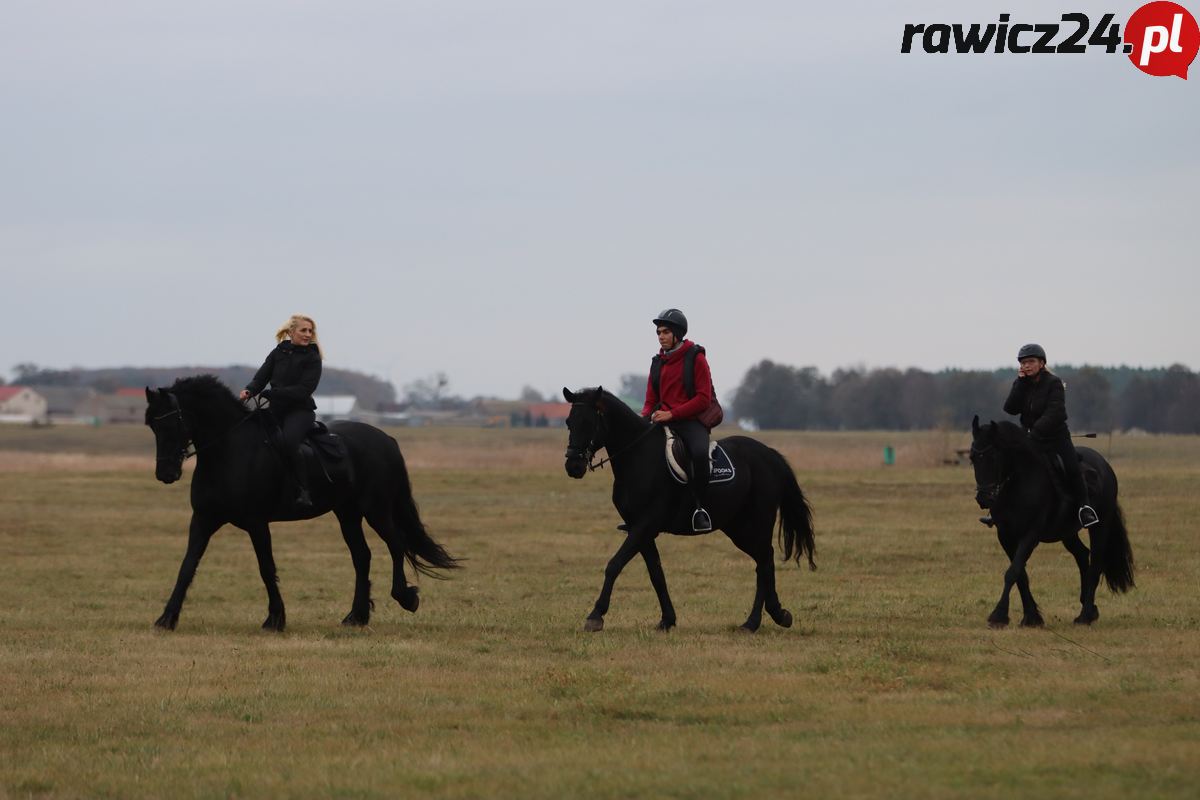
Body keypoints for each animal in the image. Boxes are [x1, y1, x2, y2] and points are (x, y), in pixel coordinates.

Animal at [145, 376, 453, 633]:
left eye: (172, 422)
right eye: (152, 426)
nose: (166, 474)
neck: (231, 452)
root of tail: (386, 439)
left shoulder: (257, 523)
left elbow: (266, 568)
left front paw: (275, 619)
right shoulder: (203, 519)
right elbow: (187, 566)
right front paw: (166, 618)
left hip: (376, 509)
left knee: (396, 545)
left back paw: (405, 597)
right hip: (348, 513)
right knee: (362, 556)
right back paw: (356, 616)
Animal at [561, 383, 816, 633]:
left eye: (589, 423)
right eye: (568, 423)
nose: (573, 466)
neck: (638, 457)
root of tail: (768, 454)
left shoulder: (645, 525)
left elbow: (614, 564)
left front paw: (595, 616)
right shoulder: (639, 529)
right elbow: (656, 573)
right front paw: (667, 619)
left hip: (756, 522)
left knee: (764, 562)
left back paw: (755, 621)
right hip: (737, 527)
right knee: (764, 561)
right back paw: (775, 615)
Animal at [969, 417, 1128, 628]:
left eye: (993, 457)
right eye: (972, 458)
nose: (983, 499)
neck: (1019, 483)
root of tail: (1105, 465)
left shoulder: (1030, 535)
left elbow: (1013, 572)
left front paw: (999, 615)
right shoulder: (1005, 536)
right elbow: (1020, 575)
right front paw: (1031, 617)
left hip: (1099, 527)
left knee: (1095, 565)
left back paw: (1085, 615)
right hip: (1067, 532)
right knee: (1082, 555)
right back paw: (1089, 608)